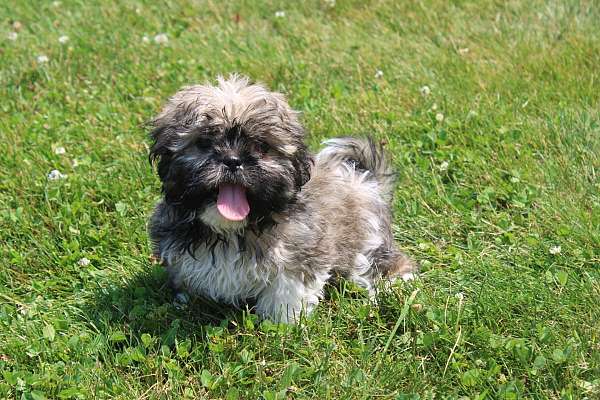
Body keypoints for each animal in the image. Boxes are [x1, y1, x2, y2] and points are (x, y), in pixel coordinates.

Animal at [148, 75, 414, 324]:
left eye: (261, 146)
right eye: (203, 142)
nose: (233, 160)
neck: (231, 231)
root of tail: (363, 178)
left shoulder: (299, 254)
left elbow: (287, 290)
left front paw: (283, 323)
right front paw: (187, 303)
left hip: (367, 241)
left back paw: (398, 282)